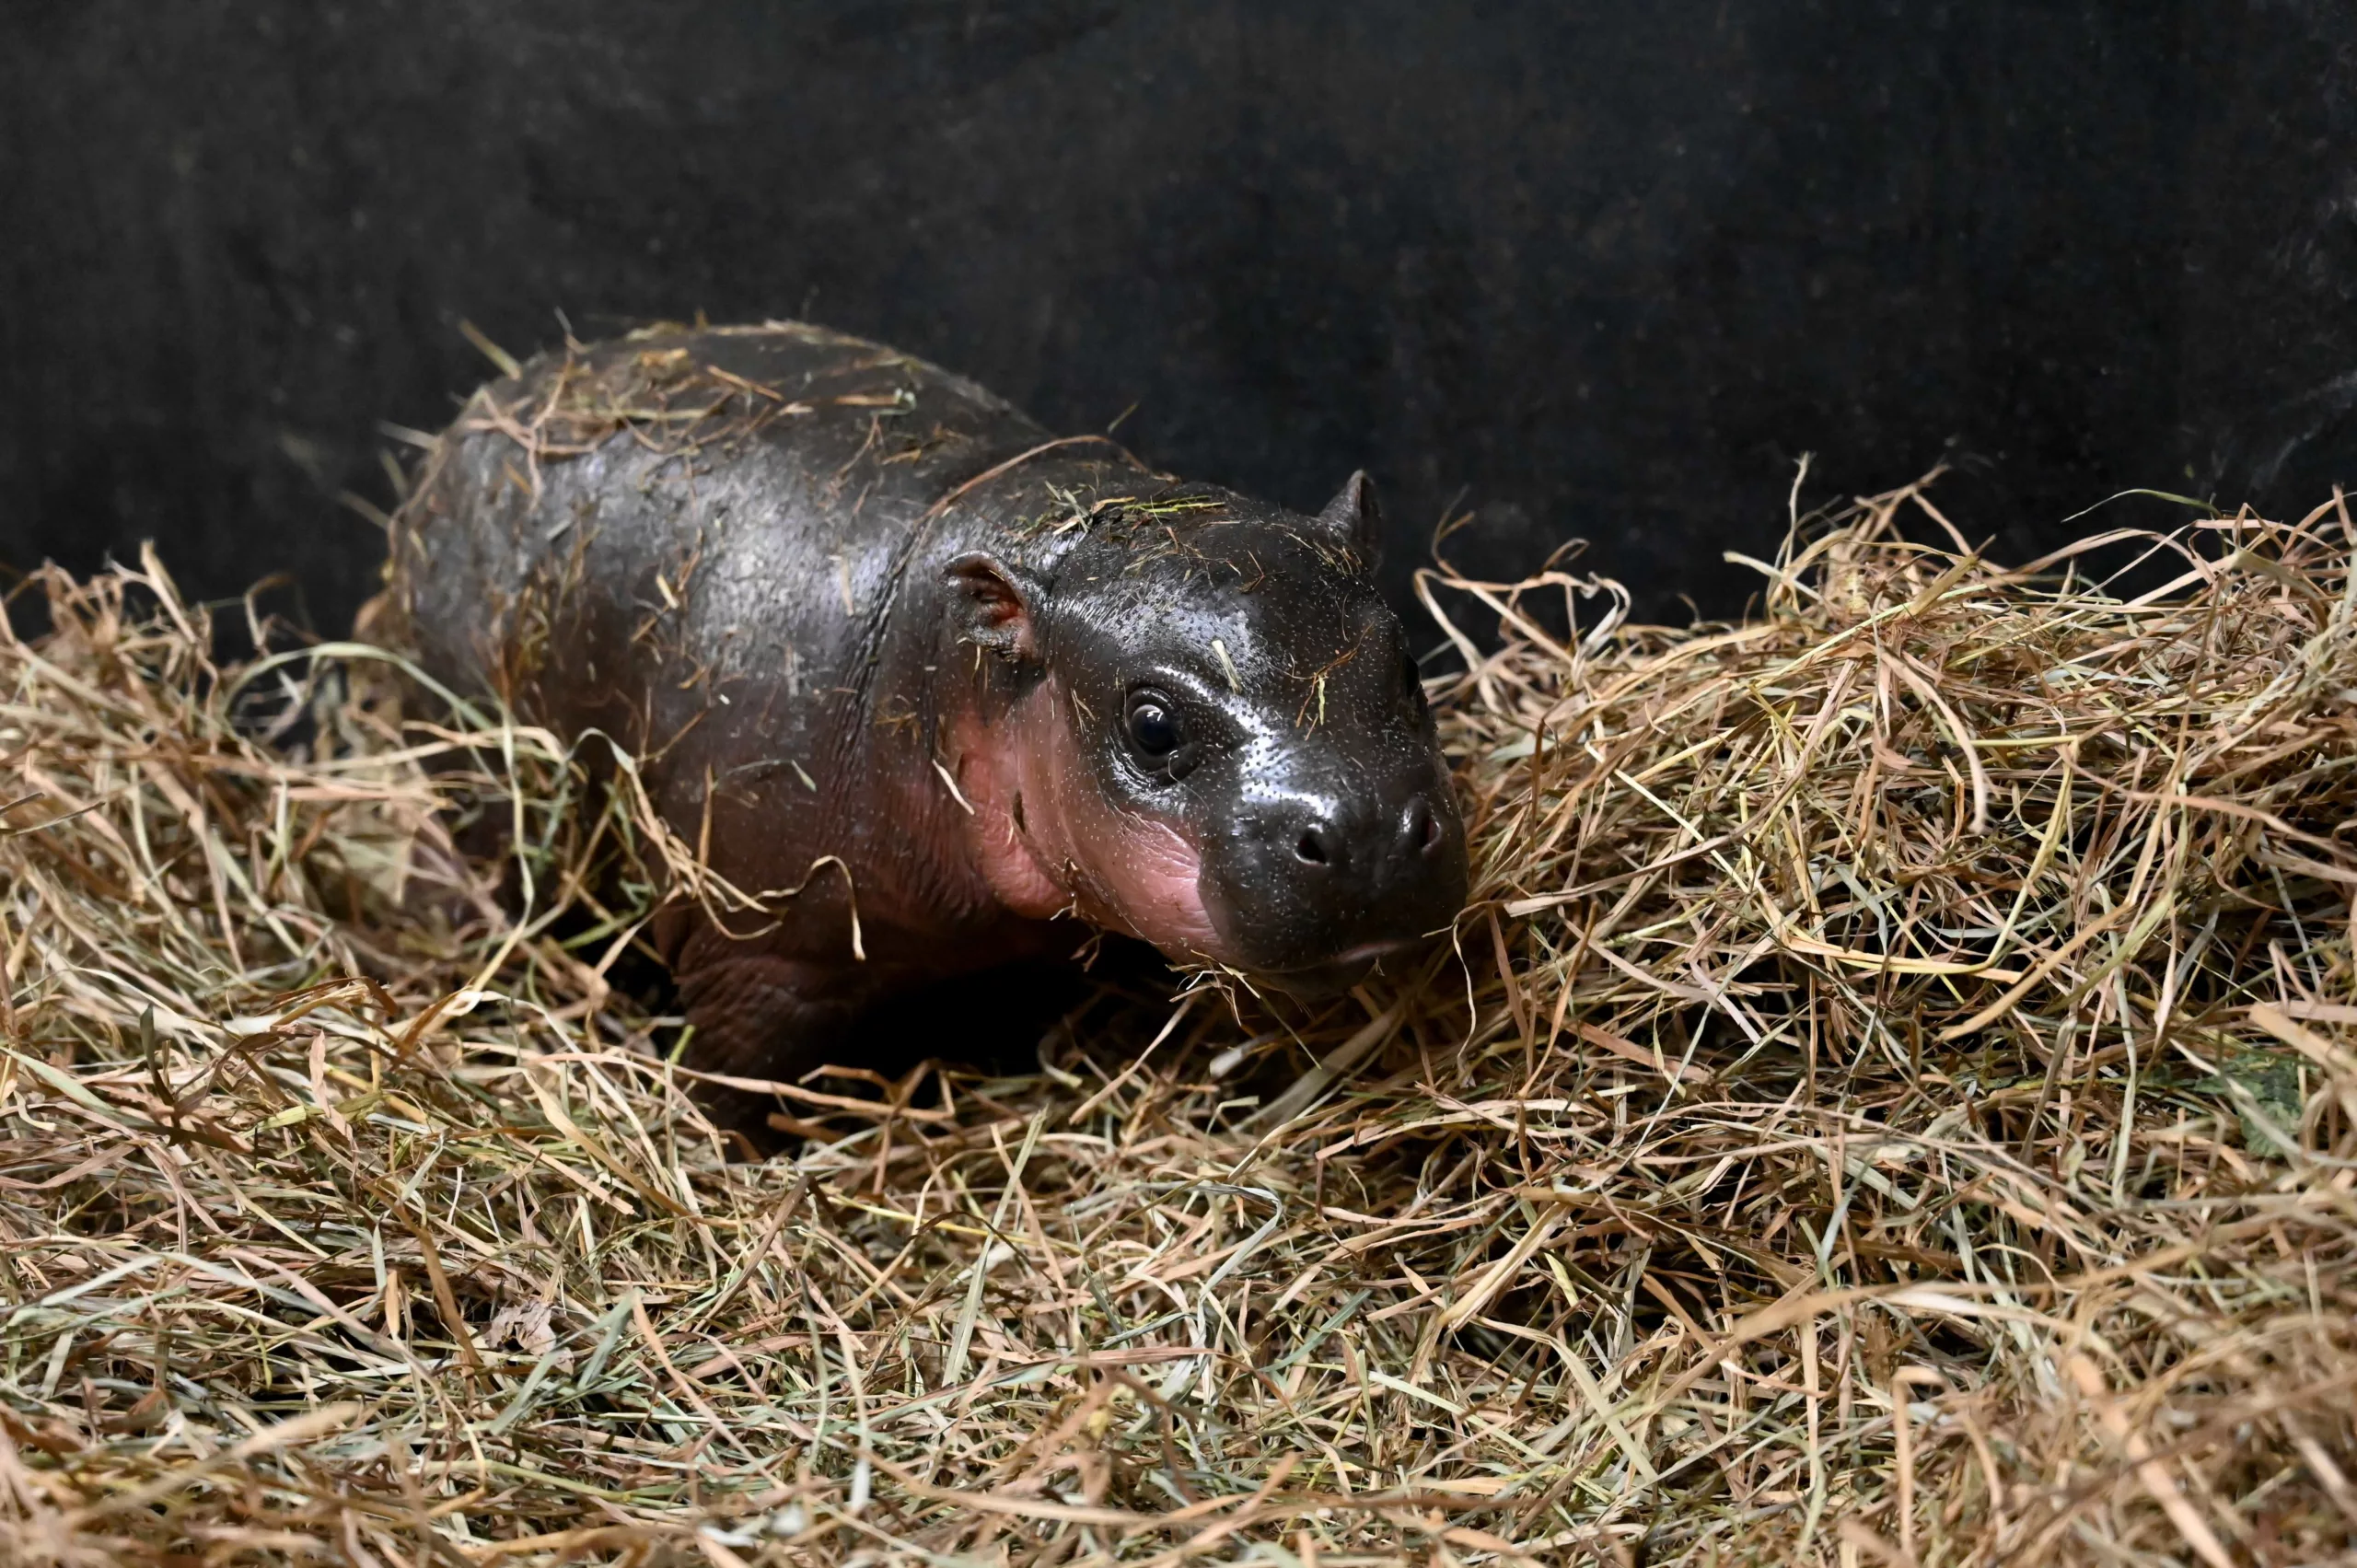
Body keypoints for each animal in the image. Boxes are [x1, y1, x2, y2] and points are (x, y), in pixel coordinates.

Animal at [386, 321, 1466, 1135]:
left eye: (1407, 663)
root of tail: (482, 413)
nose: (1371, 828)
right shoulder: (755, 955)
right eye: (1153, 725)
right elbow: (732, 1083)